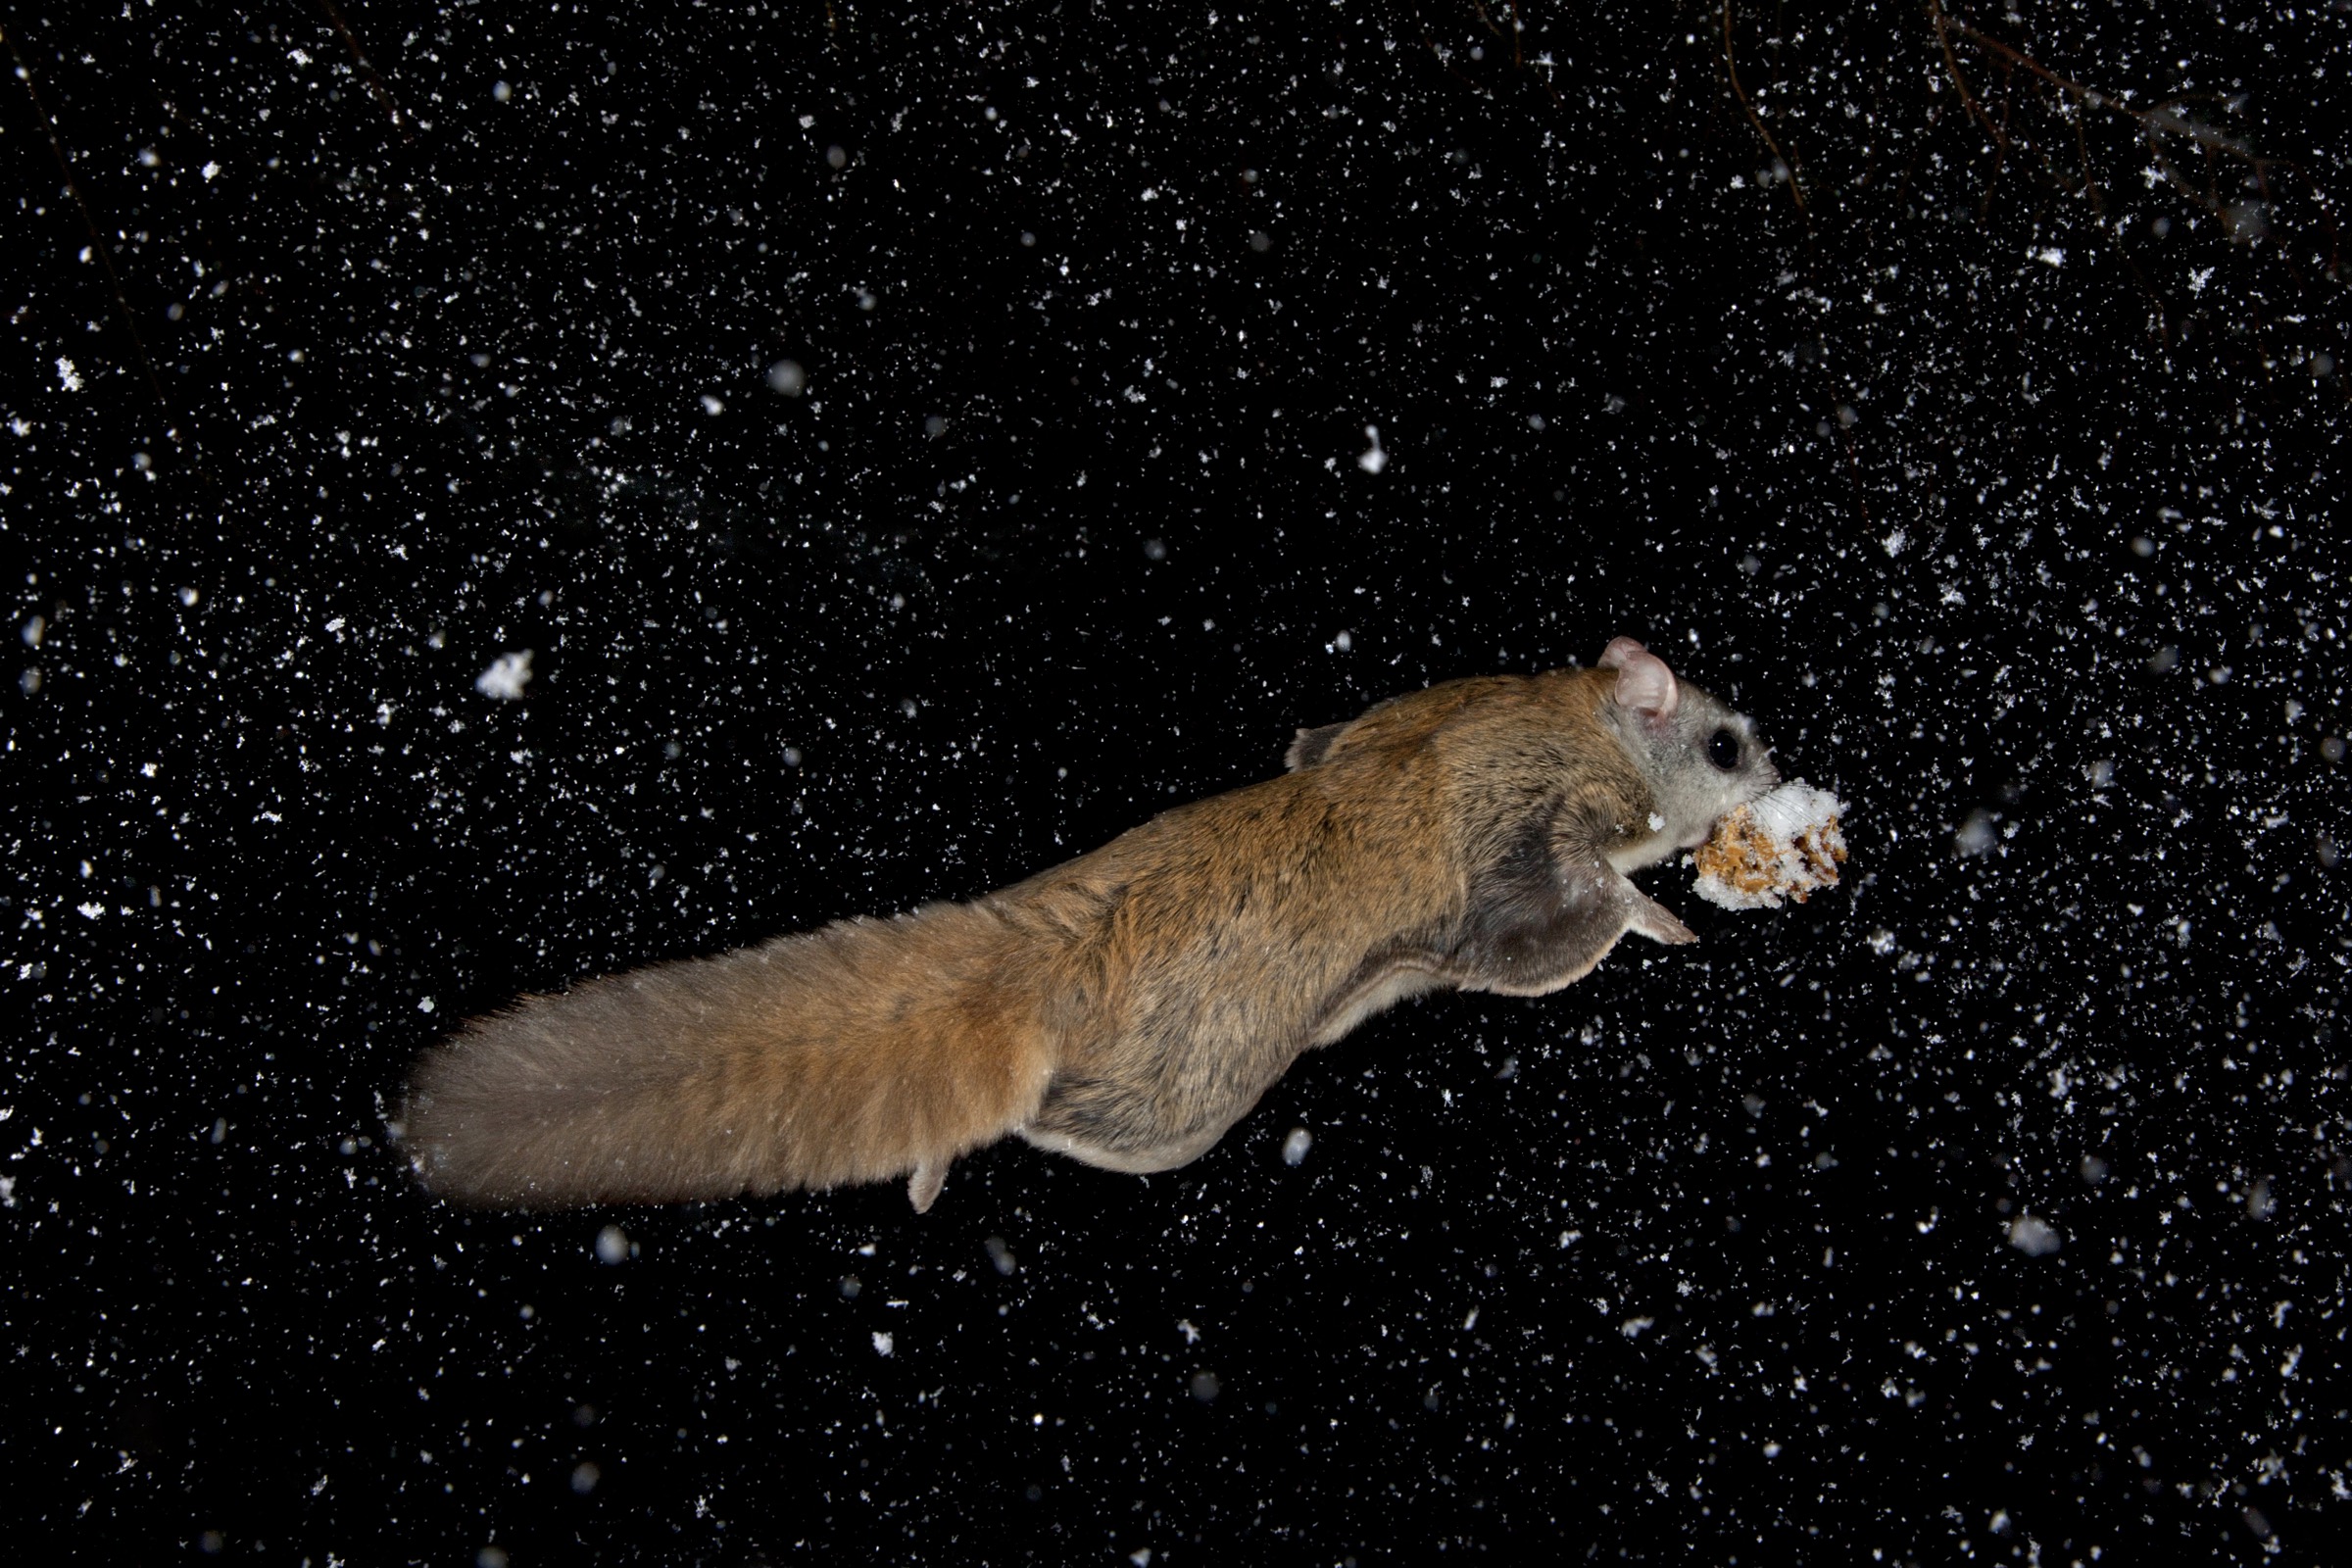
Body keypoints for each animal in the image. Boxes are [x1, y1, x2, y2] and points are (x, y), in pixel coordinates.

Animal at [401, 636, 1780, 1213]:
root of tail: (1046, 962)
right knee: (1057, 1123)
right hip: (1180, 1103)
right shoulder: (1531, 840)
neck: (1583, 716)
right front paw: (1664, 916)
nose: (1780, 780)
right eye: (1729, 743)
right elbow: (1570, 909)